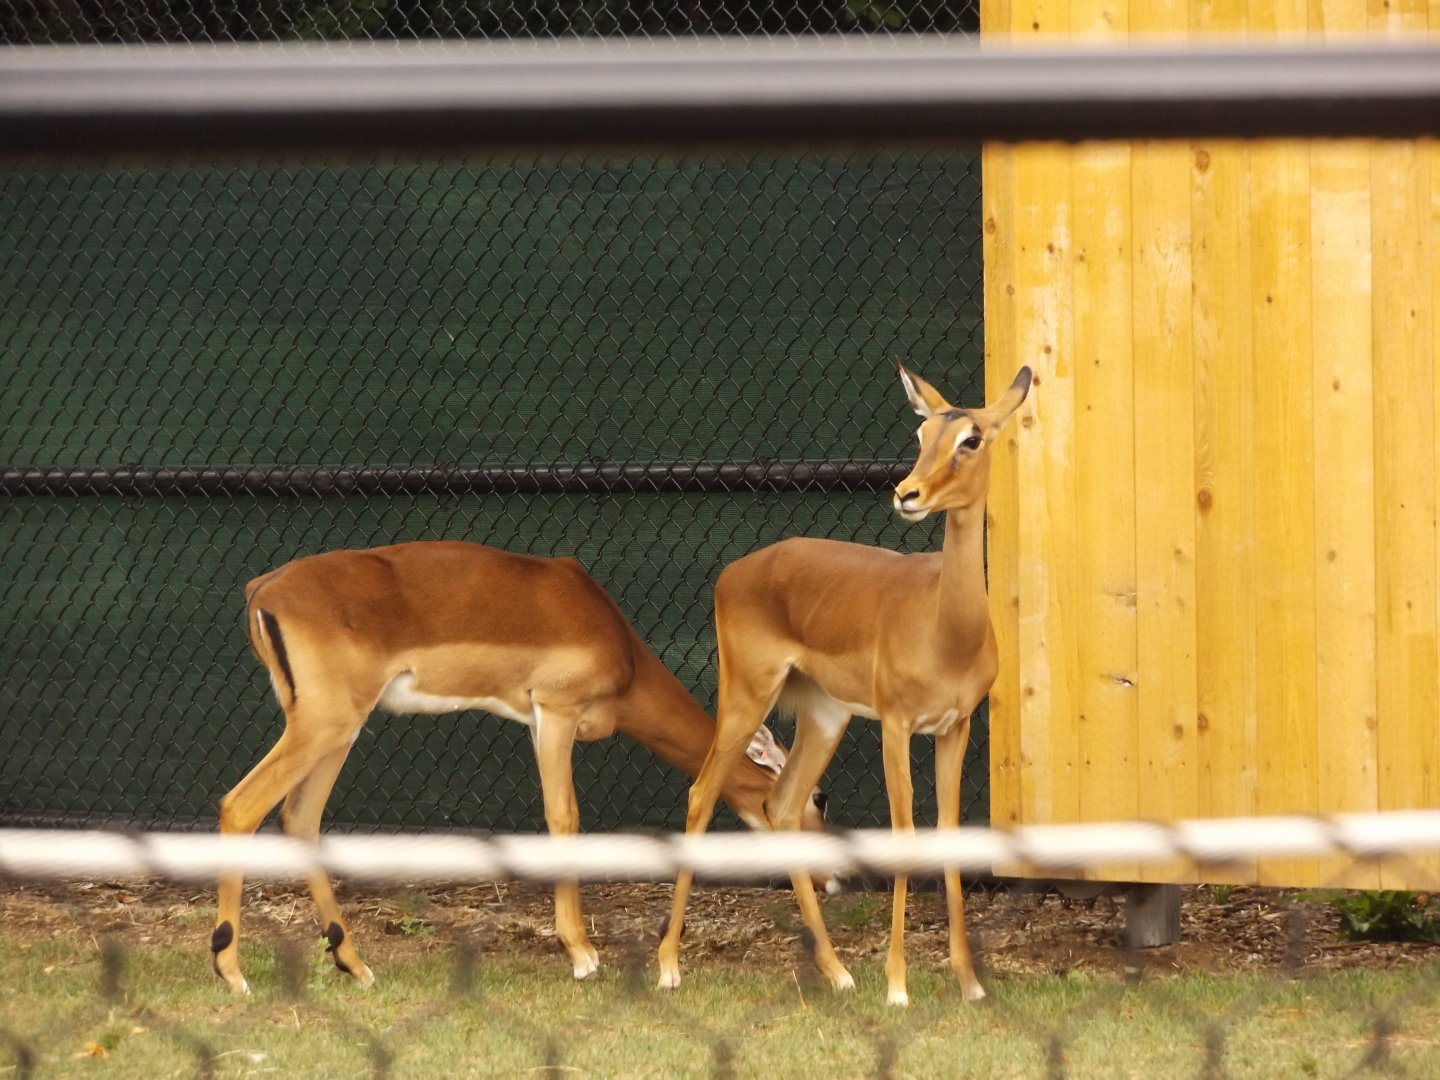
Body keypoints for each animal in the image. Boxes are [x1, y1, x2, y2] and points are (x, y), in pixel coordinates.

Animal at [211, 540, 829, 994]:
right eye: (819, 797)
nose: (829, 875)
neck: (615, 641)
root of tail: (262, 588)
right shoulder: (556, 713)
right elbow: (565, 817)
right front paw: (582, 955)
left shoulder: (535, 722)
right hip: (324, 725)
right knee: (240, 805)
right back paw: (232, 972)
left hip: (338, 730)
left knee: (300, 818)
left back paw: (355, 965)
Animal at [657, 364, 1032, 1006]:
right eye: (921, 432)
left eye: (971, 438)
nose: (907, 494)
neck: (945, 630)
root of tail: (733, 572)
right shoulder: (897, 725)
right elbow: (905, 834)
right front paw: (898, 985)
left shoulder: (954, 727)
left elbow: (949, 834)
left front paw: (969, 983)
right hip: (747, 696)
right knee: (703, 792)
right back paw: (668, 967)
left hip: (825, 715)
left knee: (781, 804)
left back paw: (837, 972)